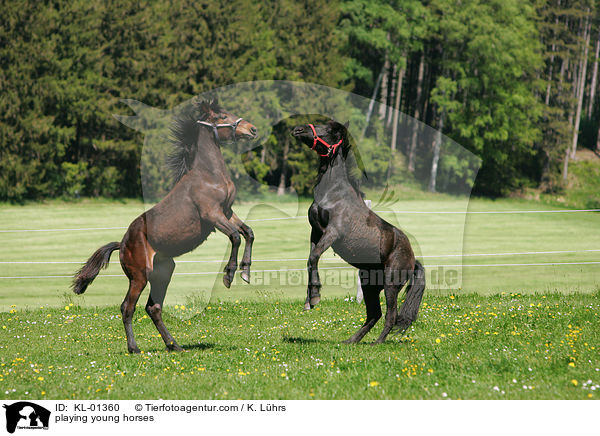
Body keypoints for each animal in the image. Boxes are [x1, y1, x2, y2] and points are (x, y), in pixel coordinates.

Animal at [72, 99, 255, 354]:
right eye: (222, 116)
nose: (251, 129)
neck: (208, 175)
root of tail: (123, 243)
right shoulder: (213, 215)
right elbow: (236, 237)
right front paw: (228, 276)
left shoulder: (227, 212)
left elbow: (248, 233)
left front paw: (245, 272)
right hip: (139, 277)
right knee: (127, 307)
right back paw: (134, 348)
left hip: (163, 272)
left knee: (153, 307)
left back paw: (174, 345)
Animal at [292, 120, 426, 344]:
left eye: (329, 130)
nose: (298, 129)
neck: (334, 194)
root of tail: (412, 259)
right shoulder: (316, 233)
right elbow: (311, 259)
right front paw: (309, 300)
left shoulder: (332, 233)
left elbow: (313, 257)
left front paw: (315, 296)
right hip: (369, 284)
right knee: (374, 314)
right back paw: (351, 341)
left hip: (391, 285)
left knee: (390, 315)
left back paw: (377, 343)